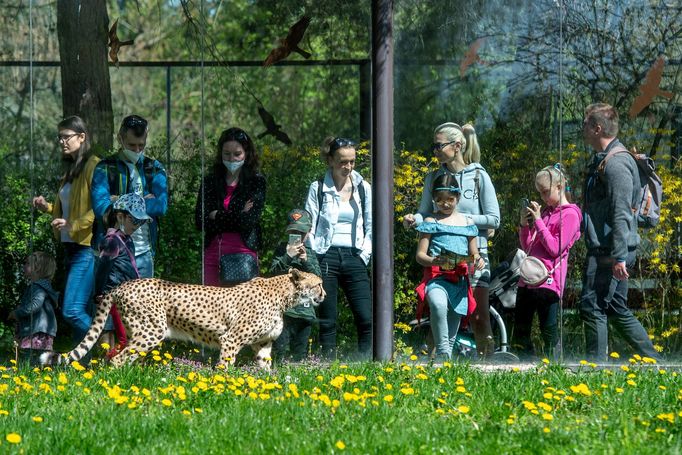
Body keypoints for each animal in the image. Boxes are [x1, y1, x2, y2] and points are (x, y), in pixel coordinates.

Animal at [42, 270, 324, 370]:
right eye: (318, 284)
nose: (325, 294)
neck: (284, 295)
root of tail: (123, 285)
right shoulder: (230, 339)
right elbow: (225, 367)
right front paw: (223, 390)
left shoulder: (262, 345)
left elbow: (266, 370)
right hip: (150, 331)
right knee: (119, 358)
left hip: (136, 334)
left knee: (118, 355)